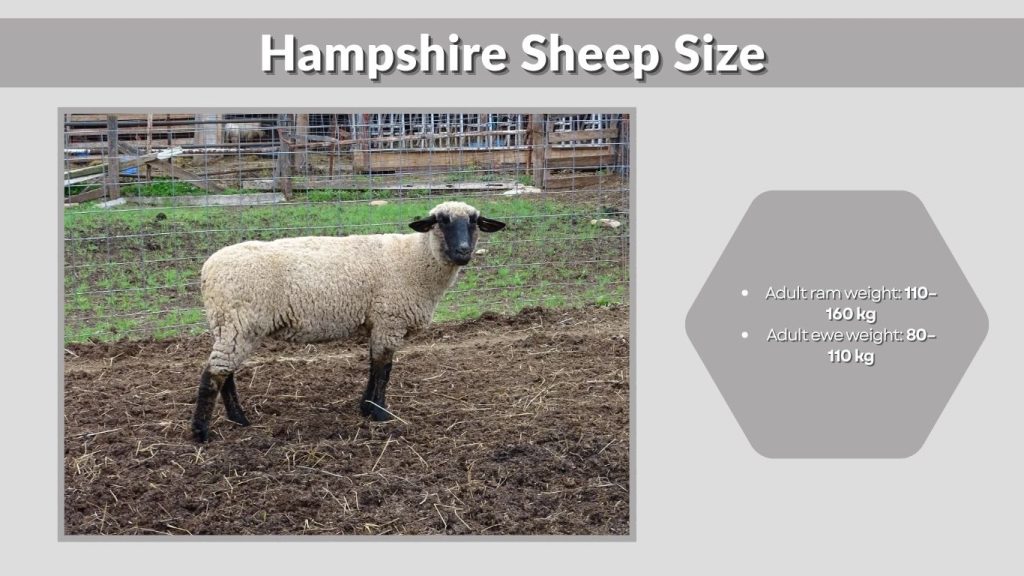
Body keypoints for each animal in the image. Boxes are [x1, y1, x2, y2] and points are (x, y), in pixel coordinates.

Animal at [191, 201, 507, 442]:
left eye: (474, 222)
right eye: (441, 221)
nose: (464, 251)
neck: (415, 259)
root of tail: (207, 270)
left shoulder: (378, 322)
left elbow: (373, 366)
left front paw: (366, 408)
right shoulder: (390, 319)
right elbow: (384, 369)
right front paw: (380, 414)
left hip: (229, 325)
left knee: (226, 373)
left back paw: (239, 419)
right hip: (240, 322)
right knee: (213, 374)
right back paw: (201, 433)